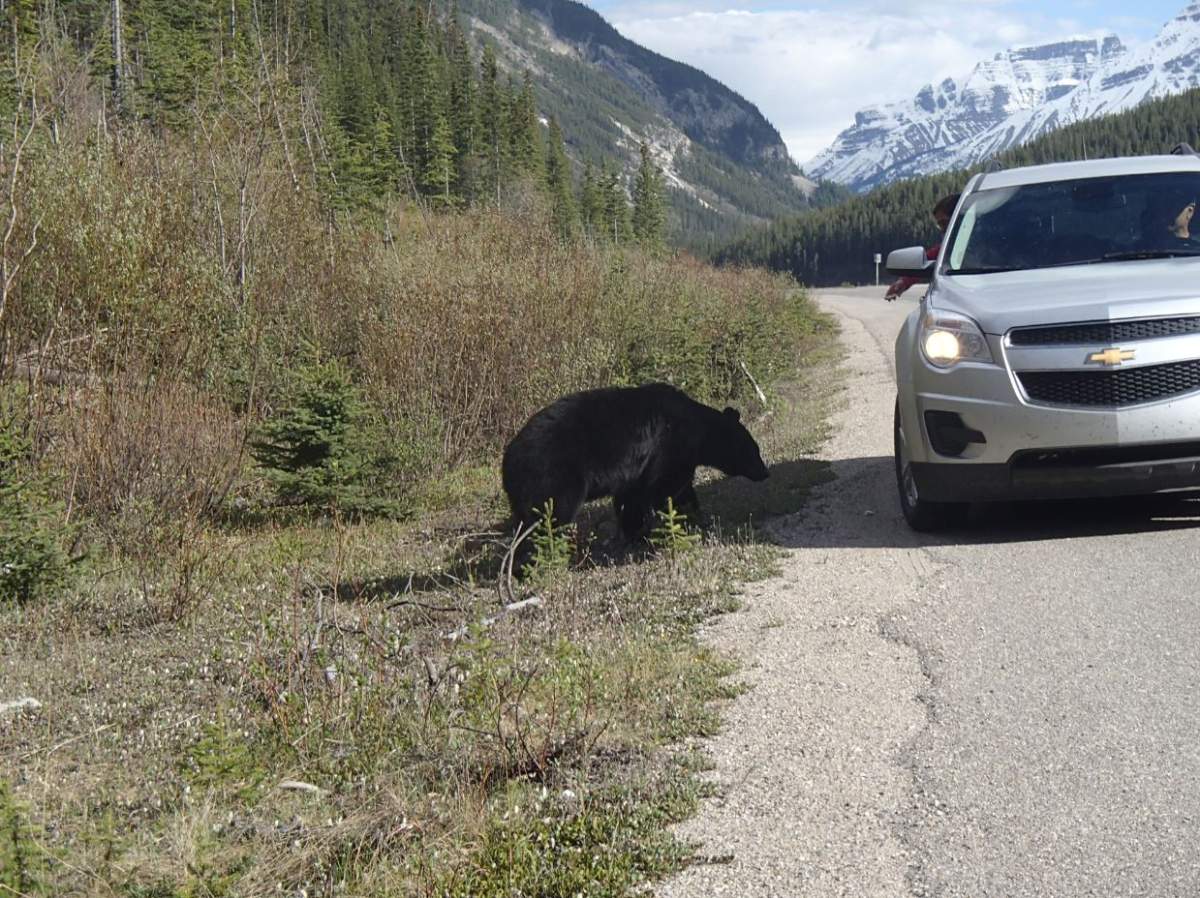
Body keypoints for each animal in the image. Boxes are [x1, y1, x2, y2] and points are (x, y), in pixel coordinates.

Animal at [501, 383, 769, 548]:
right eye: (754, 450)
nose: (765, 472)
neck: (698, 430)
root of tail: (508, 462)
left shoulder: (636, 471)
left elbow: (633, 498)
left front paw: (635, 533)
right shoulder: (669, 448)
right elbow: (667, 489)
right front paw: (679, 525)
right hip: (553, 476)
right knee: (550, 516)